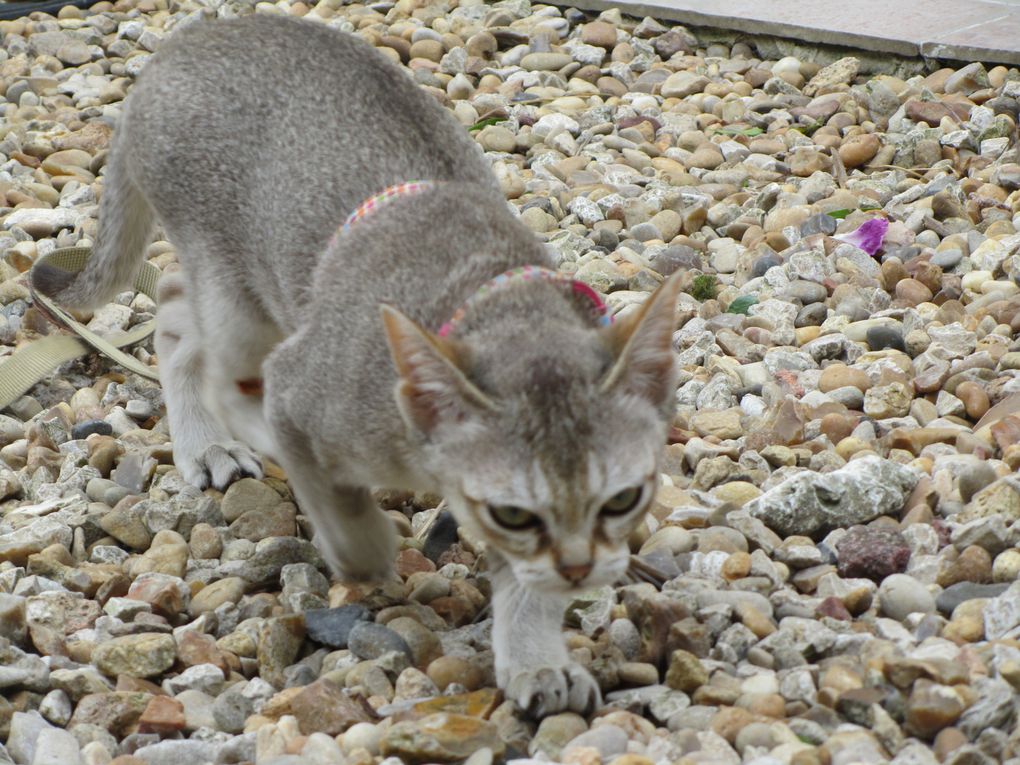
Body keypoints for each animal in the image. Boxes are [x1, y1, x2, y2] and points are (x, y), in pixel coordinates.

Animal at [35, 13, 681, 718]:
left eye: (622, 500)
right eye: (517, 512)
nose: (580, 570)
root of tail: (181, 44)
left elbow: (526, 585)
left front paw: (537, 661)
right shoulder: (312, 388)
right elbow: (327, 483)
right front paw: (364, 549)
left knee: (177, 309)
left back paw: (204, 437)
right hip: (236, 292)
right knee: (225, 368)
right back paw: (216, 443)